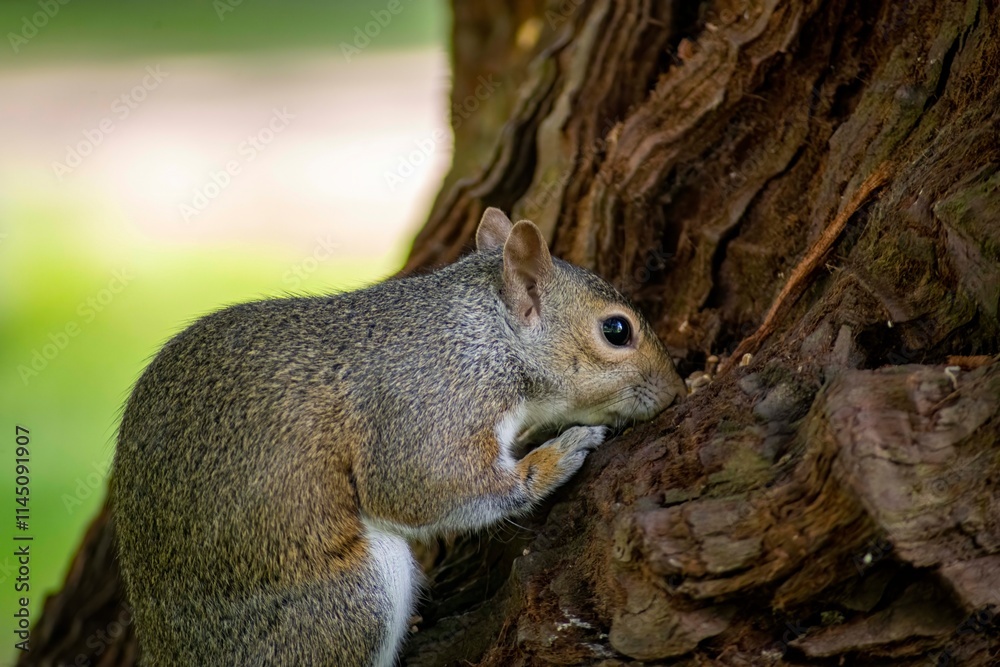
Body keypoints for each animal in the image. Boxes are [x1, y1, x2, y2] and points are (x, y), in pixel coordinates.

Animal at [110, 207, 687, 666]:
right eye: (616, 330)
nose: (677, 389)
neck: (485, 336)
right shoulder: (430, 406)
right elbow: (428, 487)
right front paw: (559, 454)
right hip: (352, 599)